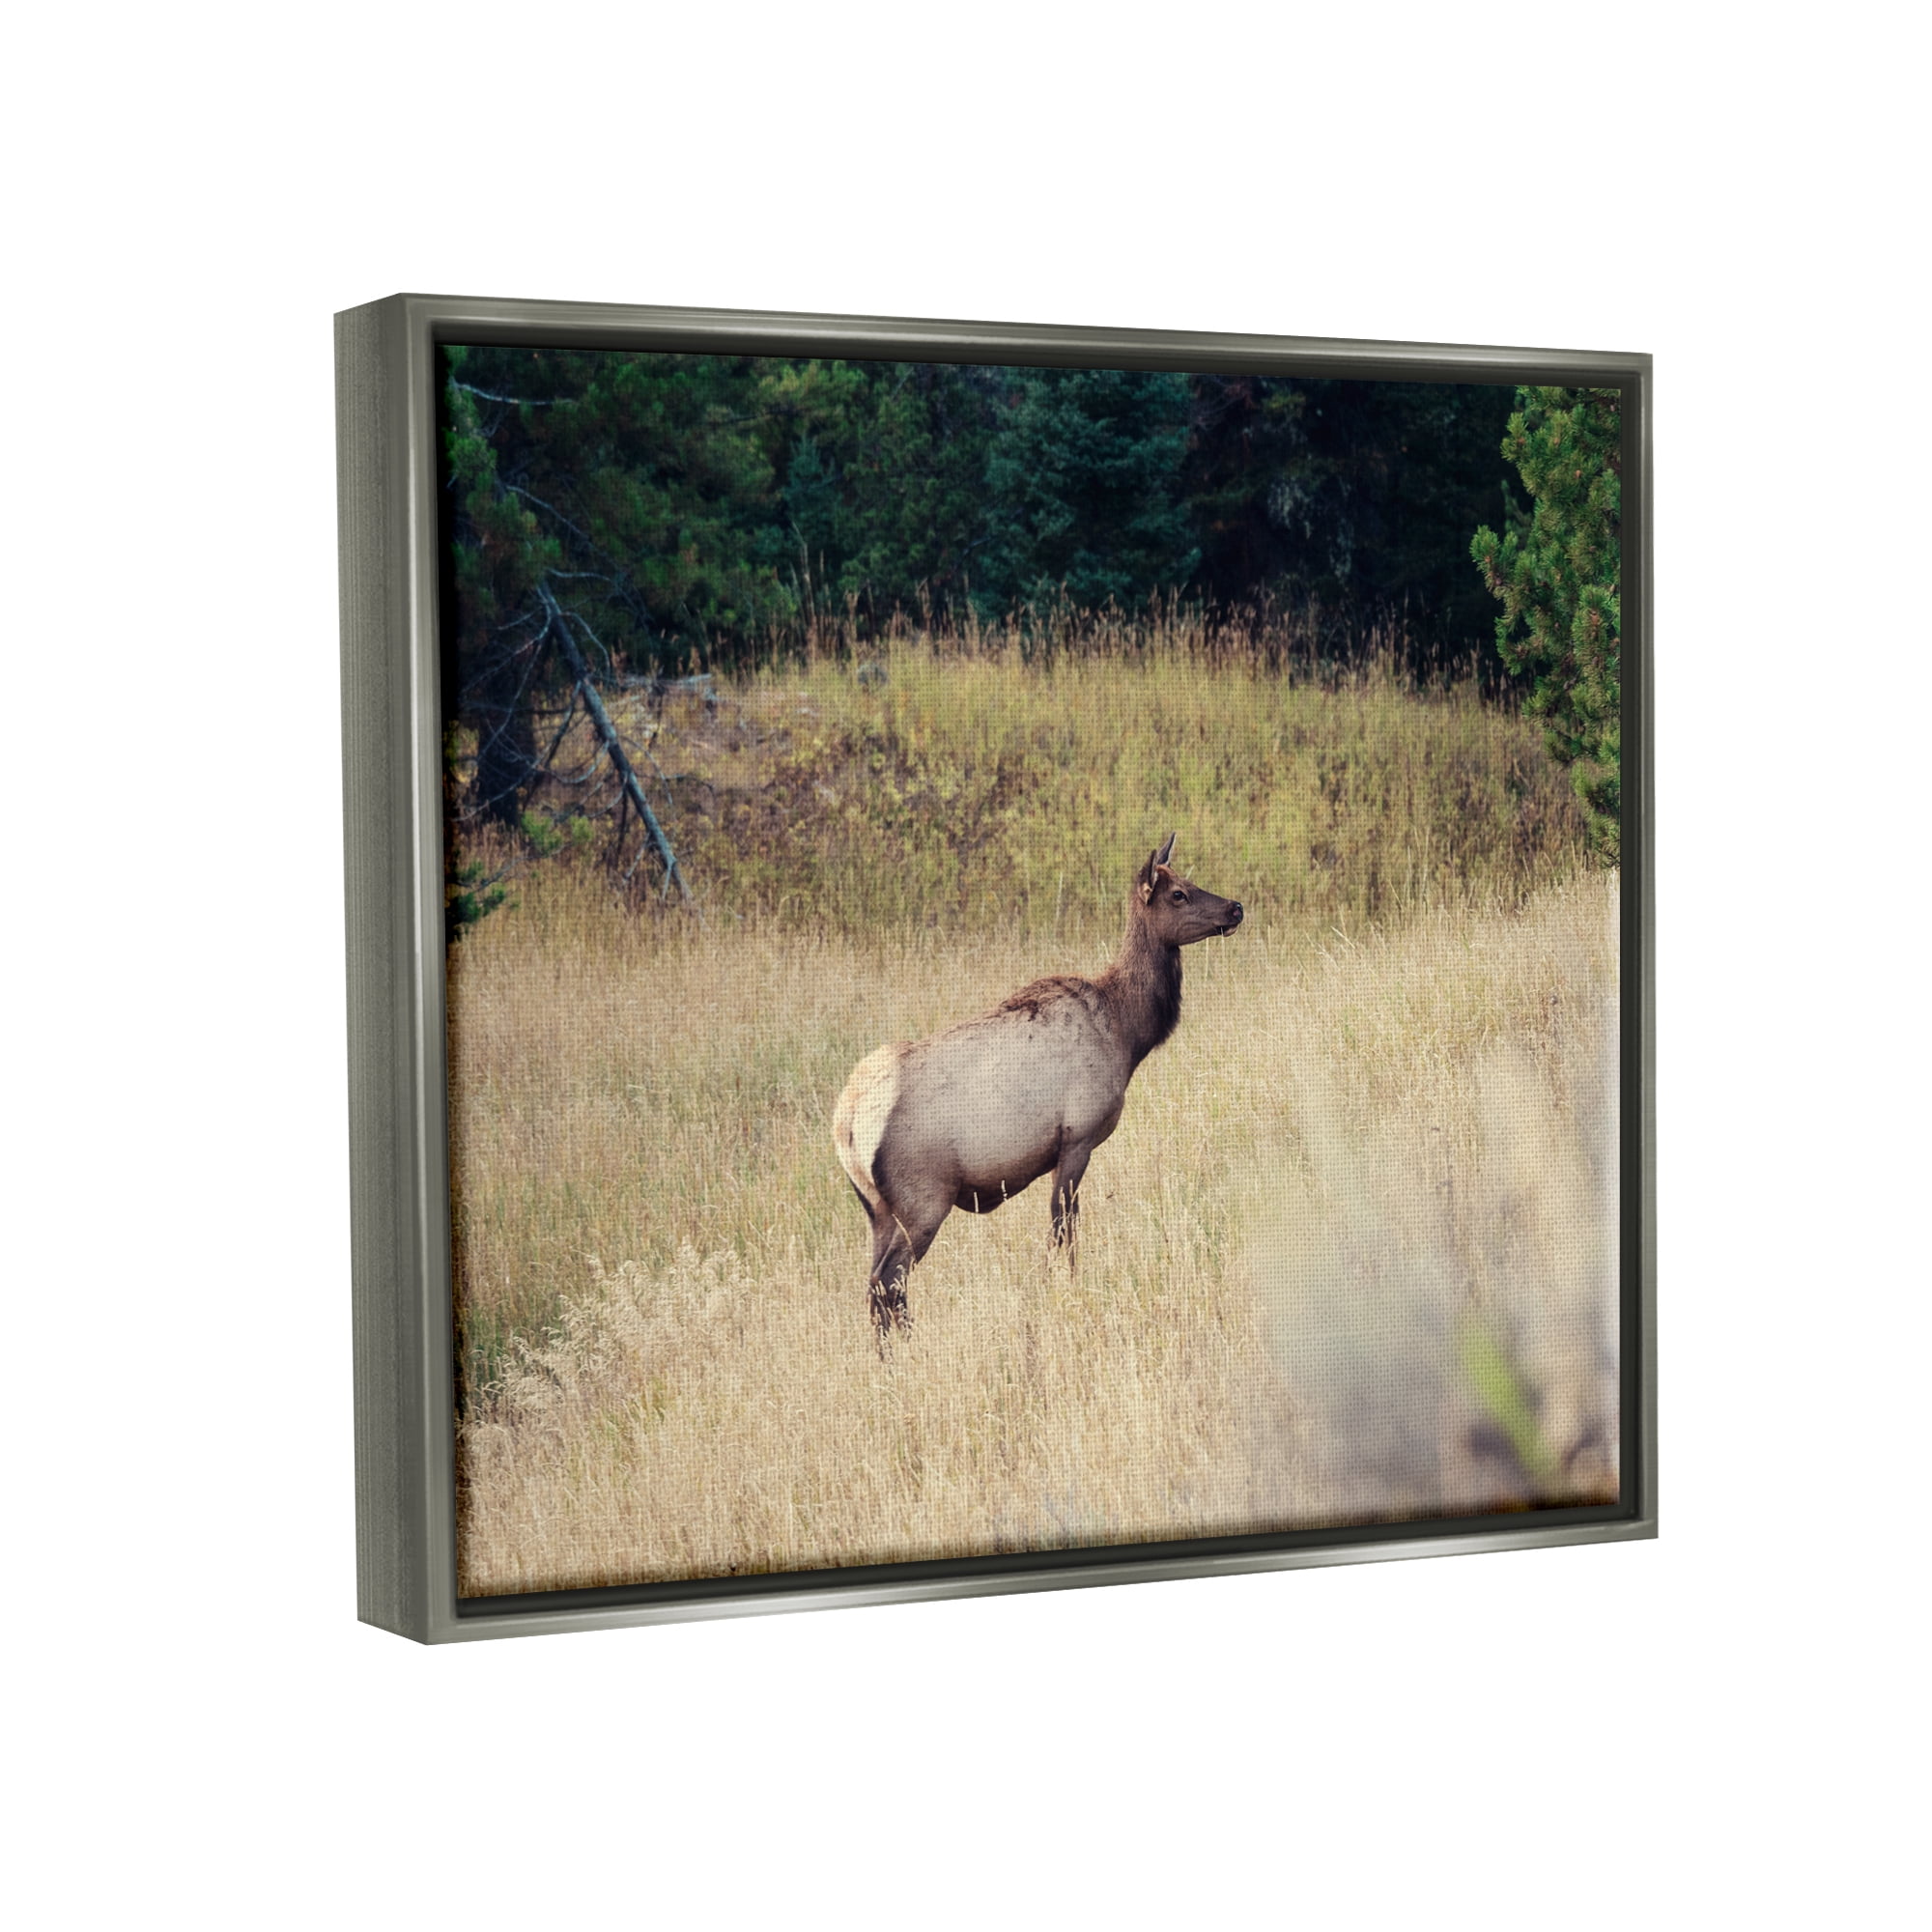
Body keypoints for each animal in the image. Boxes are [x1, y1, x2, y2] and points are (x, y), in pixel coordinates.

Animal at [832, 833, 1244, 1339]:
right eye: (1178, 894)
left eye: (1188, 880)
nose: (1235, 908)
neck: (1127, 1033)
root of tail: (847, 1125)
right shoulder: (1078, 1137)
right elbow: (1063, 1231)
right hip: (923, 1199)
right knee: (888, 1281)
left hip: (877, 1209)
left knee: (875, 1285)